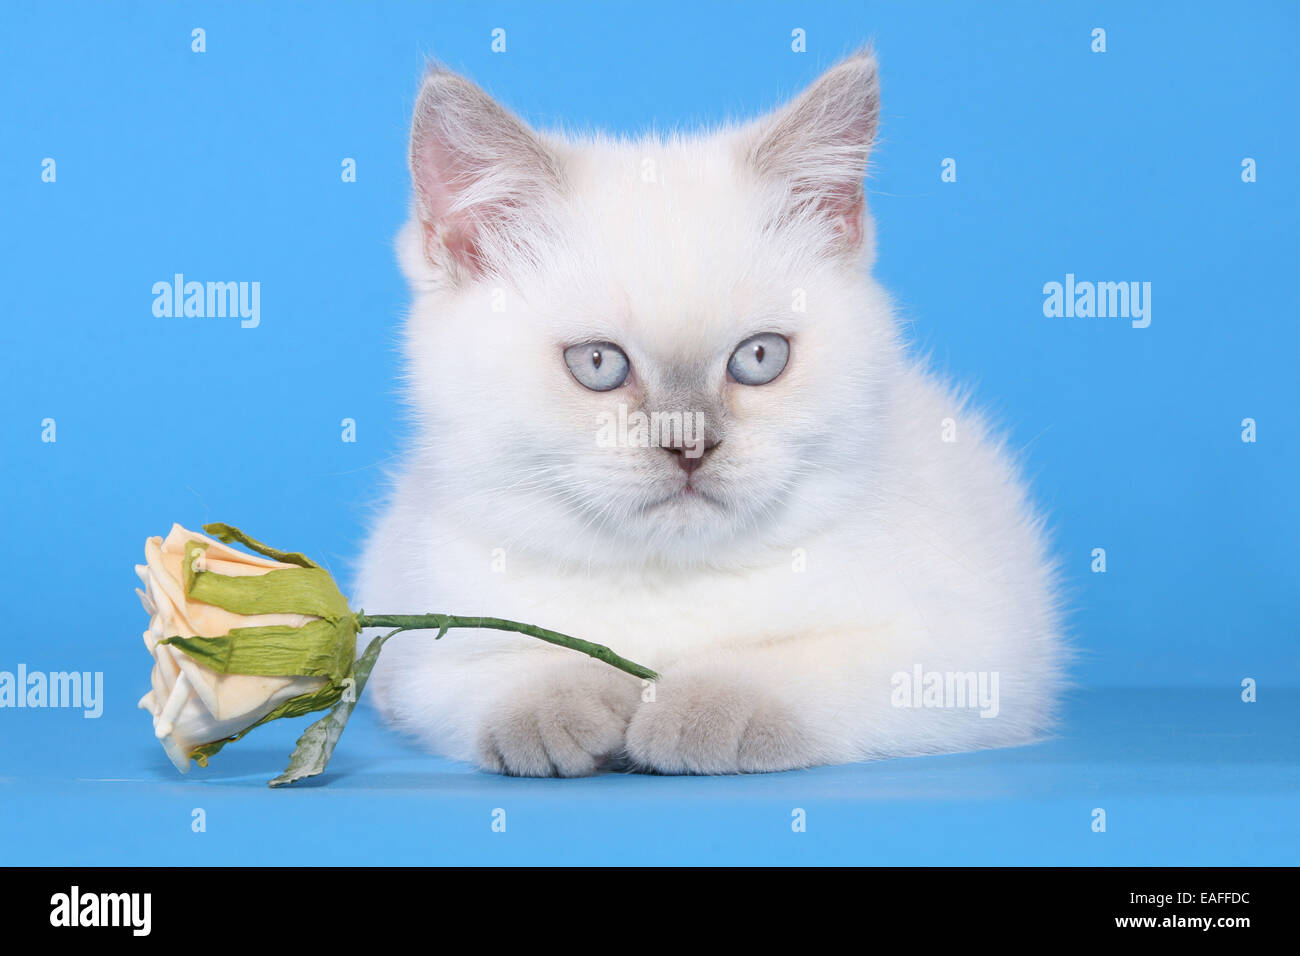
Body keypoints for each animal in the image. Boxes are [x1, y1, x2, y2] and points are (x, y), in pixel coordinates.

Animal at [358, 52, 1066, 780]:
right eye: (597, 363)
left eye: (759, 357)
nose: (690, 445)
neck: (669, 579)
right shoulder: (423, 650)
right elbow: (508, 663)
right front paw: (559, 709)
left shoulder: (966, 653)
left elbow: (792, 667)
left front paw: (693, 713)